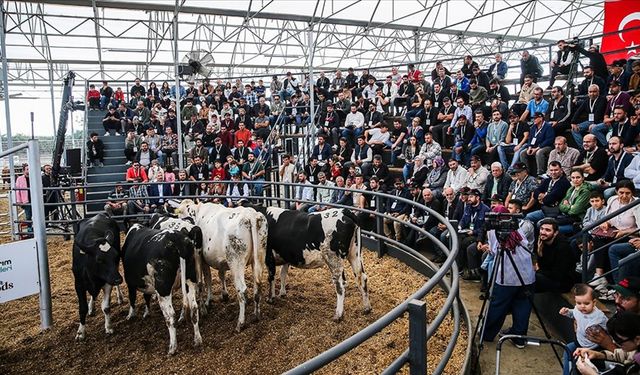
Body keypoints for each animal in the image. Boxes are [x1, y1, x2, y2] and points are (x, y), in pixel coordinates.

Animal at [120, 225, 200, 356]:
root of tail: (176, 238)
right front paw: (146, 312)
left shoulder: (130, 282)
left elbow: (132, 298)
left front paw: (130, 315)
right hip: (190, 280)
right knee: (194, 308)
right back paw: (197, 340)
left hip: (163, 289)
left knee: (171, 316)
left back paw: (172, 348)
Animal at [242, 207, 370, 322]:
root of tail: (344, 211)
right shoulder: (286, 256)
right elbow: (283, 274)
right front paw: (282, 293)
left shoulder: (269, 256)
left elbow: (271, 277)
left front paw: (270, 298)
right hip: (355, 254)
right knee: (362, 278)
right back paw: (367, 308)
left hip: (334, 259)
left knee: (340, 286)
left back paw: (338, 315)